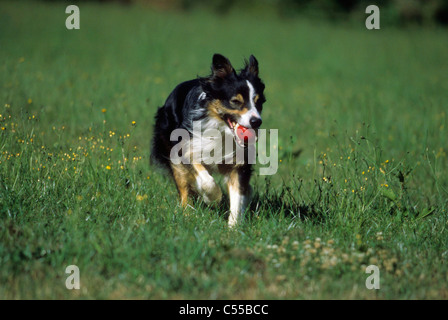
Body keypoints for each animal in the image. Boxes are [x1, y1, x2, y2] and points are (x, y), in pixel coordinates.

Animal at [152, 53, 266, 226]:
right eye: (235, 101)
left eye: (258, 102)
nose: (256, 121)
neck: (220, 128)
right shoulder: (189, 147)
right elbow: (205, 179)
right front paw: (213, 198)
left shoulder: (239, 162)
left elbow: (237, 194)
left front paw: (233, 227)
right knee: (183, 186)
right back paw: (188, 214)